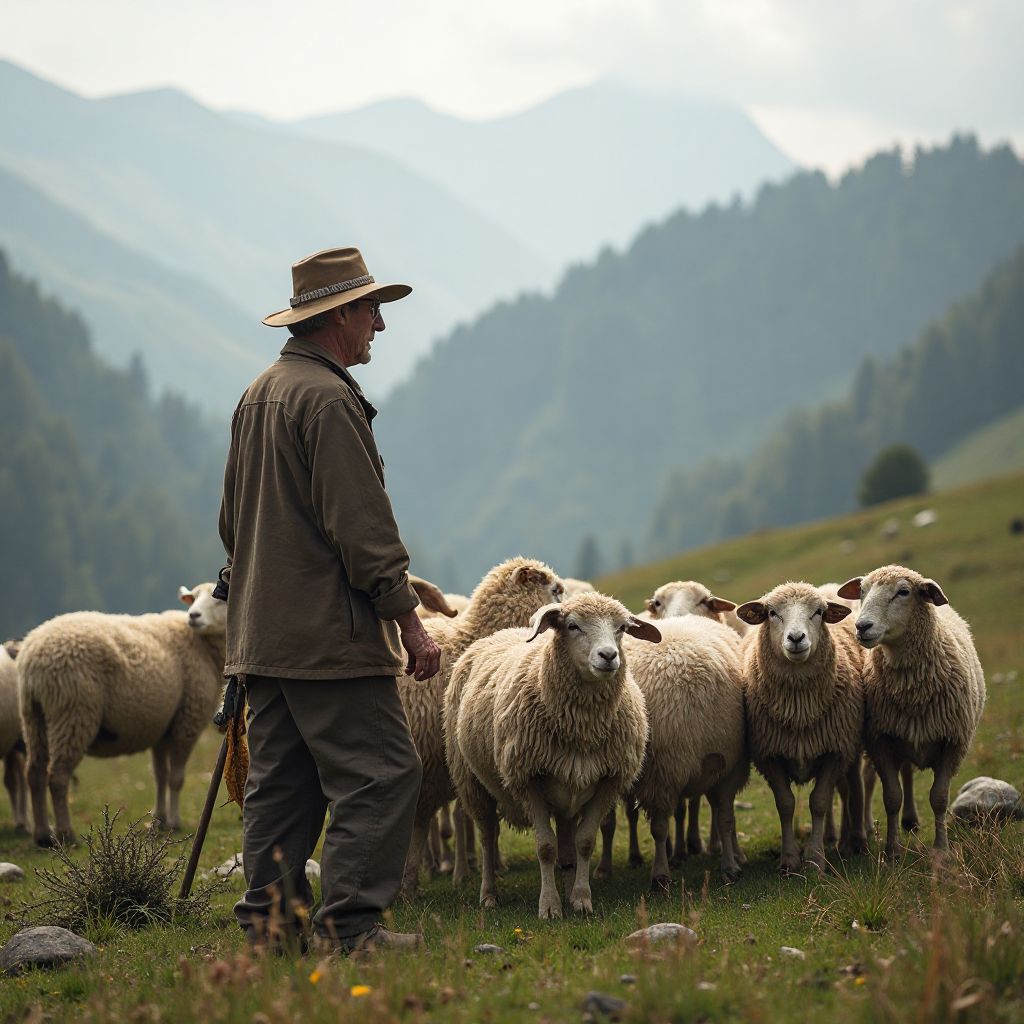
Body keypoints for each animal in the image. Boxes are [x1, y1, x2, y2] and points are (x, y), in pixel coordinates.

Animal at [18, 582, 226, 846]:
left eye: (218, 600)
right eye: (194, 599)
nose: (194, 616)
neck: (202, 647)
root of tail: (33, 656)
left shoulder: (162, 727)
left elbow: (160, 776)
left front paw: (160, 819)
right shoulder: (187, 721)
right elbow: (176, 779)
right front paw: (175, 822)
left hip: (33, 717)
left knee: (34, 773)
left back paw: (43, 835)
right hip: (73, 711)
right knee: (57, 776)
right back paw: (67, 834)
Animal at [445, 592, 658, 918]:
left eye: (622, 627)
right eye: (572, 626)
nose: (609, 656)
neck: (582, 727)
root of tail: (500, 633)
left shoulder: (608, 781)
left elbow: (585, 842)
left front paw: (581, 899)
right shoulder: (527, 778)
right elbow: (545, 847)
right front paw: (549, 907)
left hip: (567, 788)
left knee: (568, 842)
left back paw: (569, 888)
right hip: (471, 780)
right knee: (487, 836)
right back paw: (489, 893)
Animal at [737, 582, 867, 873]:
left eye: (819, 612)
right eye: (772, 613)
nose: (796, 638)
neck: (799, 711)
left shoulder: (835, 751)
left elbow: (819, 802)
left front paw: (816, 859)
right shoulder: (769, 755)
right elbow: (785, 805)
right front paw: (789, 859)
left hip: (851, 747)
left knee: (851, 789)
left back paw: (854, 841)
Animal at [837, 566, 986, 858]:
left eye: (903, 592)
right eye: (862, 591)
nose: (862, 626)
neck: (912, 690)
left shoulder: (953, 742)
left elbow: (939, 799)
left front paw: (941, 849)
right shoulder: (881, 740)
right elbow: (892, 797)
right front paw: (892, 850)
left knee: (906, 772)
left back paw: (910, 821)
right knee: (875, 778)